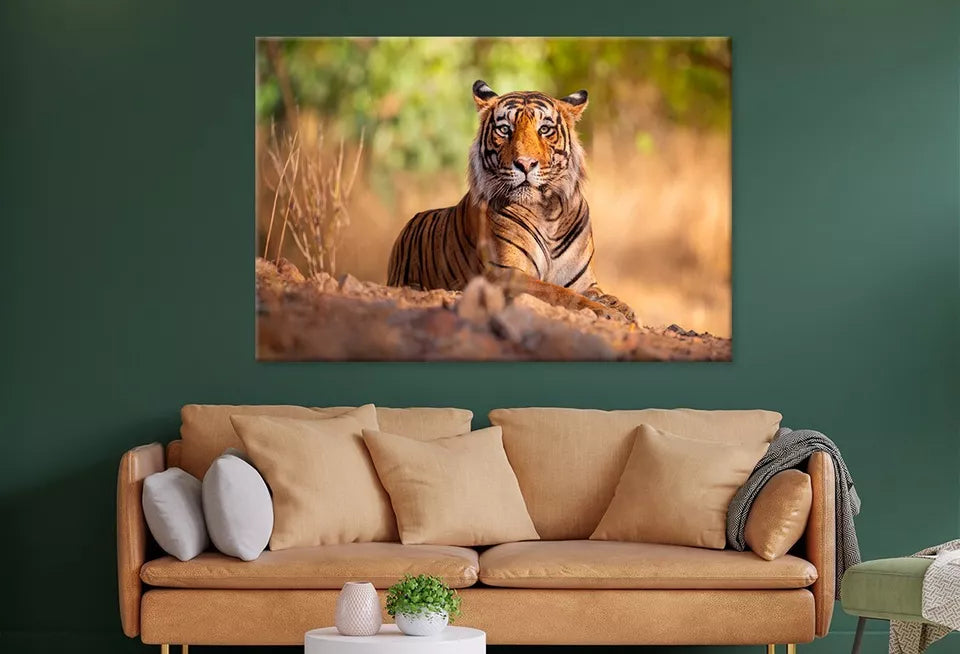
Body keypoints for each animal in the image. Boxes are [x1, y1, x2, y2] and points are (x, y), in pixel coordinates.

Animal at [386, 80, 636, 324]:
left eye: (544, 129)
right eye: (505, 129)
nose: (525, 164)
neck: (548, 213)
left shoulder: (583, 281)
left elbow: (601, 294)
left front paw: (622, 308)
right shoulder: (506, 274)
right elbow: (558, 292)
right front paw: (606, 312)